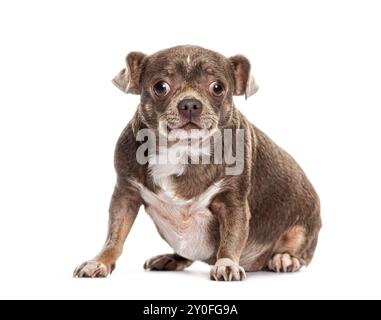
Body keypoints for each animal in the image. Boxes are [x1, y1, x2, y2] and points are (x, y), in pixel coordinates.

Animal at [73, 44, 320, 280]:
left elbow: (231, 238)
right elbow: (115, 236)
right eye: (160, 87)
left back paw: (285, 258)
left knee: (298, 251)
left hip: (302, 228)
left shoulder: (233, 203)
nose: (190, 103)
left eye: (218, 87)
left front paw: (226, 264)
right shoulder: (125, 195)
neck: (182, 150)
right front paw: (99, 261)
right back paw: (171, 258)